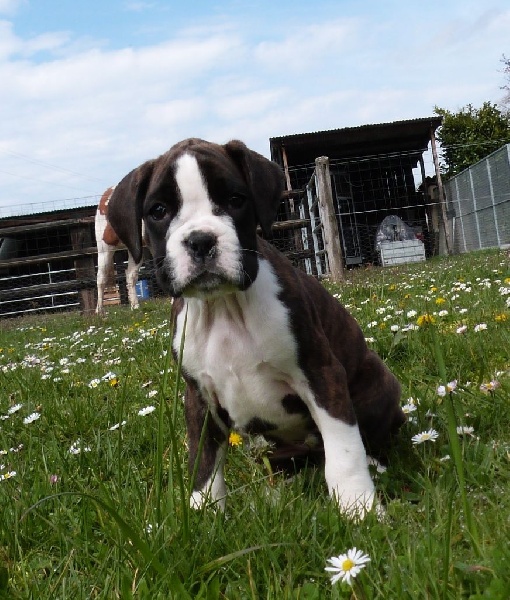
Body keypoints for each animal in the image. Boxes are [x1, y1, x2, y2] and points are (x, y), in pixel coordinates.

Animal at [107, 138, 404, 518]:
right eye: (158, 211)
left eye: (236, 200)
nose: (201, 240)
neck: (224, 307)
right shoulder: (198, 397)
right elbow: (204, 460)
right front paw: (204, 512)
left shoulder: (322, 375)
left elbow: (344, 449)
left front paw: (359, 507)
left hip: (378, 386)